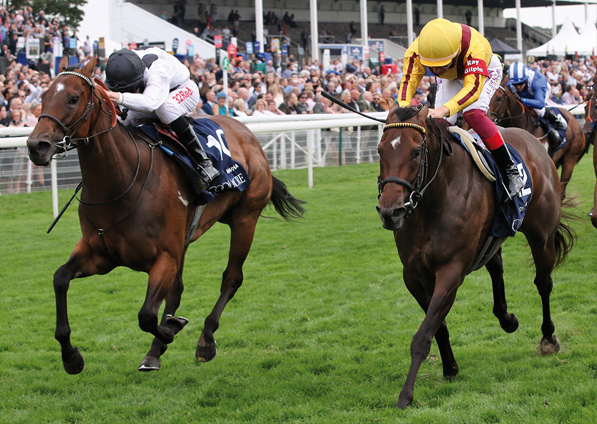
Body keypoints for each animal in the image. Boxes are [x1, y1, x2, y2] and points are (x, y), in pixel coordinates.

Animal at [25, 54, 304, 372]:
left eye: (73, 98)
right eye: (43, 96)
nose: (37, 146)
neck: (122, 183)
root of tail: (247, 134)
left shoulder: (164, 258)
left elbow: (146, 315)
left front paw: (171, 329)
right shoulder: (100, 256)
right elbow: (60, 278)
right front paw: (71, 357)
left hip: (246, 218)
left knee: (232, 277)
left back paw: (205, 340)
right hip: (186, 238)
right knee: (178, 289)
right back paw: (156, 350)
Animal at [374, 102, 576, 408]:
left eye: (416, 151)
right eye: (380, 150)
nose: (390, 212)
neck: (433, 202)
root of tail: (535, 142)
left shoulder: (451, 271)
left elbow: (423, 334)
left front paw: (406, 394)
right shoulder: (413, 274)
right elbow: (438, 326)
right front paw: (450, 367)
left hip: (541, 235)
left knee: (543, 283)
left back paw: (548, 338)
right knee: (497, 266)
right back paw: (507, 319)